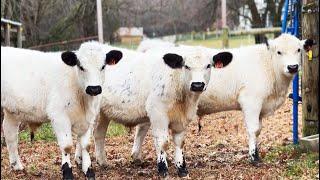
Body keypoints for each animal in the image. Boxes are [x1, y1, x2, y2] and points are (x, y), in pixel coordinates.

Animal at [0, 41, 122, 179]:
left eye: (103, 66)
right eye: (81, 67)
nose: (94, 88)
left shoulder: (90, 118)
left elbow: (86, 145)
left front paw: (89, 170)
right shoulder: (59, 117)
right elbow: (67, 146)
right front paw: (67, 172)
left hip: (11, 110)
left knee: (10, 133)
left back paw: (16, 166)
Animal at [92, 45, 232, 177]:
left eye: (208, 65)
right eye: (186, 66)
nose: (197, 85)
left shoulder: (182, 119)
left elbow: (180, 142)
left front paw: (182, 169)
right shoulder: (157, 113)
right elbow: (163, 141)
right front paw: (162, 169)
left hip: (103, 114)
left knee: (99, 134)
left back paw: (103, 162)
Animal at [133, 33, 316, 165]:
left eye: (299, 50)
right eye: (279, 52)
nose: (293, 67)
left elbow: (259, 130)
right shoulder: (251, 101)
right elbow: (253, 129)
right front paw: (254, 158)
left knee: (142, 127)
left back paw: (136, 157)